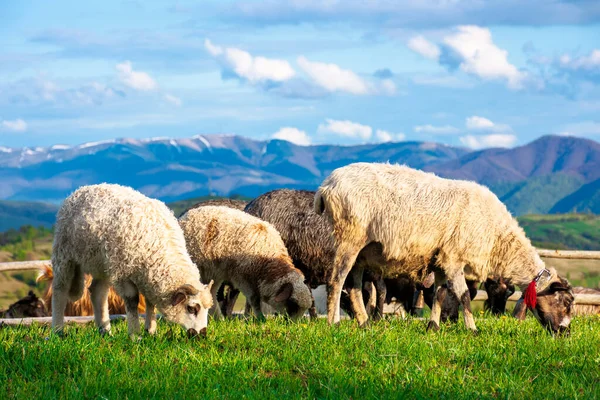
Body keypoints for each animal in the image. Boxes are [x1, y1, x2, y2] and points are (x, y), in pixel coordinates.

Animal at [51, 184, 213, 338]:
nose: (202, 334)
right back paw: (58, 331)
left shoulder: (148, 275)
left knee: (98, 292)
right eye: (192, 308)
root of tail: (80, 190)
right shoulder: (123, 272)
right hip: (64, 254)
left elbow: (150, 301)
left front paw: (150, 330)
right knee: (60, 290)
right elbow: (132, 300)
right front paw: (135, 334)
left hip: (103, 264)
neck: (158, 244)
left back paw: (105, 331)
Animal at [178, 205, 312, 320]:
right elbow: (254, 300)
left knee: (210, 292)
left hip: (212, 272)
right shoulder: (242, 277)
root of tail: (185, 216)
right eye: (293, 304)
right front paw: (260, 319)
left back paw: (218, 318)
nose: (292, 324)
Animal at [314, 162, 572, 334]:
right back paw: (333, 323)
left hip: (363, 252)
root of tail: (326, 186)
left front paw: (433, 326)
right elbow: (464, 295)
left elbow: (439, 293)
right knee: (337, 280)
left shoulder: (440, 259)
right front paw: (473, 329)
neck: (498, 238)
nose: (566, 333)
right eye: (567, 302)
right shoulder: (453, 259)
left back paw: (364, 323)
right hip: (349, 237)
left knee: (355, 286)